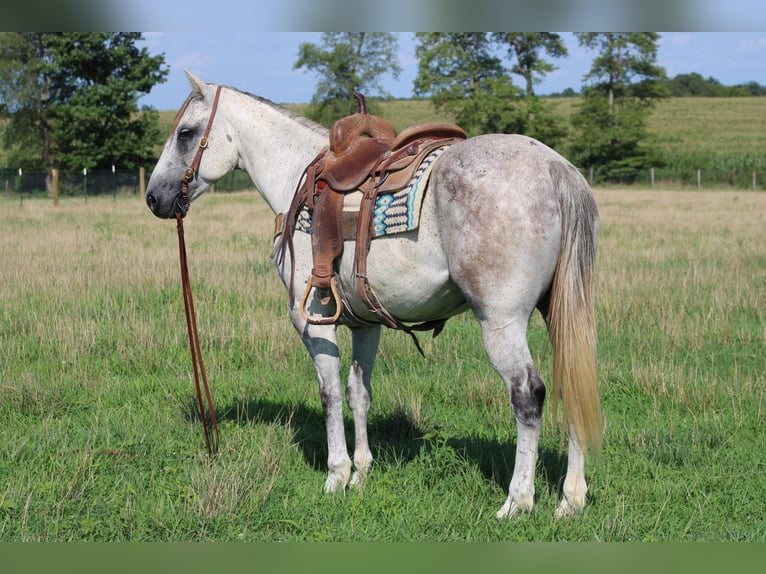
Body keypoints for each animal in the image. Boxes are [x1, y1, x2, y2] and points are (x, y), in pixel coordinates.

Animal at [144, 72, 604, 520]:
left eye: (186, 133)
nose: (153, 197)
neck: (296, 176)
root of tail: (555, 167)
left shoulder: (311, 319)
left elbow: (329, 393)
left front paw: (336, 475)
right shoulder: (366, 324)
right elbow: (358, 392)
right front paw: (361, 474)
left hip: (501, 322)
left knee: (527, 396)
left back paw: (517, 501)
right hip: (559, 313)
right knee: (571, 385)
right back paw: (570, 500)